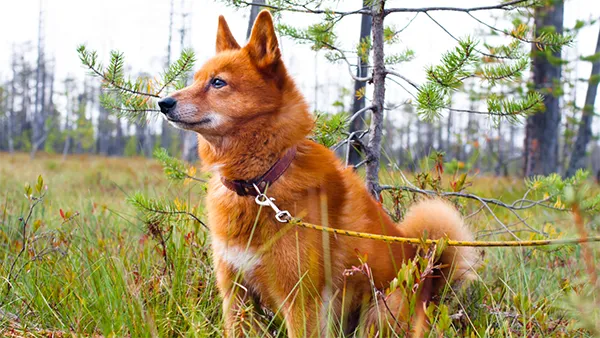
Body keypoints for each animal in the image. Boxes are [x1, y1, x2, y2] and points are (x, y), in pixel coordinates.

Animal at [159, 10, 478, 338]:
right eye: (196, 79)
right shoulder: (236, 296)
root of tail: (429, 286)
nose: (163, 102)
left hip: (380, 313)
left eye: (218, 82)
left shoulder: (302, 301)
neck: (261, 183)